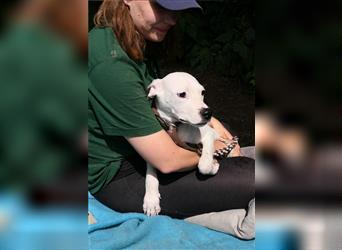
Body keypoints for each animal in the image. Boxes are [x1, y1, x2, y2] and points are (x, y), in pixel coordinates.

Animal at [144, 72, 219, 217]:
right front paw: (151, 199)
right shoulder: (153, 155)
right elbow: (150, 175)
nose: (208, 113)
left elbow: (204, 165)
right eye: (182, 94)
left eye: (202, 92)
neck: (175, 127)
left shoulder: (209, 134)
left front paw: (213, 165)